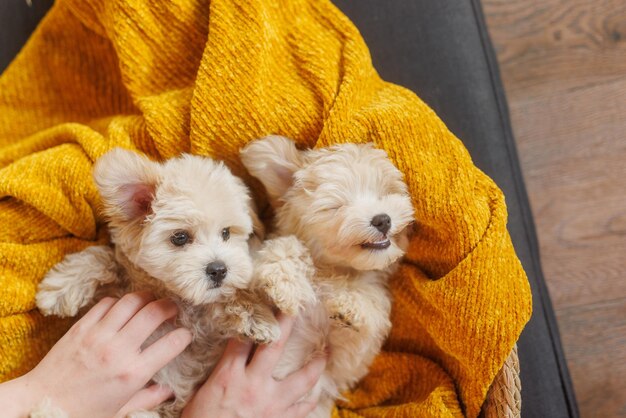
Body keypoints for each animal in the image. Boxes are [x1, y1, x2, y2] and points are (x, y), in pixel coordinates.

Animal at [34, 149, 278, 416]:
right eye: (180, 237)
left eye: (226, 233)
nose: (219, 269)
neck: (170, 293)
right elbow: (102, 257)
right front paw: (60, 287)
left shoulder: (208, 335)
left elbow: (226, 299)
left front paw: (257, 317)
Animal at [239, 136, 414, 416]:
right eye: (336, 206)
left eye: (385, 193)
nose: (382, 219)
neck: (334, 271)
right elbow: (287, 249)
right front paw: (283, 283)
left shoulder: (345, 359)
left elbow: (369, 300)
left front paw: (351, 305)